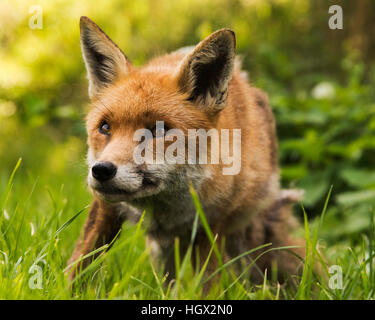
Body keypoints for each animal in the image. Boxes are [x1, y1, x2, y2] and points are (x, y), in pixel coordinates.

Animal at [67, 15, 306, 284]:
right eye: (105, 127)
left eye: (159, 131)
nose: (102, 170)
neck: (165, 207)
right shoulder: (105, 207)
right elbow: (80, 264)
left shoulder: (210, 227)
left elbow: (207, 283)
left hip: (245, 238)